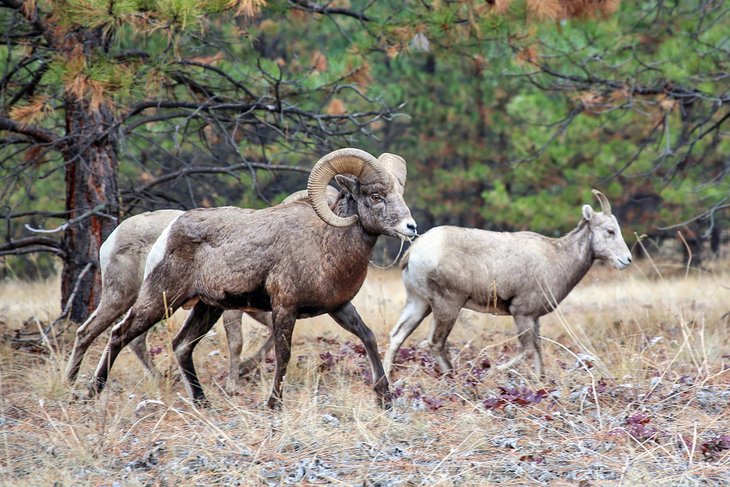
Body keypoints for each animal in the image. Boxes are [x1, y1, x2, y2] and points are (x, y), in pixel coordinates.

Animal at [85, 149, 416, 408]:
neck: (326, 243)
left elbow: (368, 337)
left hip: (207, 308)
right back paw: (92, 392)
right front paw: (274, 404)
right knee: (119, 334)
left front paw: (384, 398)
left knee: (181, 345)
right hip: (160, 300)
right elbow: (283, 354)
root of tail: (168, 234)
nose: (411, 227)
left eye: (400, 194)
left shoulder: (339, 307)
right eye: (375, 196)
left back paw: (202, 402)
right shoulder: (284, 307)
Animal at [384, 193, 628, 380]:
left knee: (397, 336)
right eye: (610, 231)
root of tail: (414, 251)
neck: (557, 258)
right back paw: (453, 378)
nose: (627, 259)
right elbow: (528, 351)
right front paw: (495, 371)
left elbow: (537, 353)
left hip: (420, 303)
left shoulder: (534, 319)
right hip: (447, 306)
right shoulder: (522, 314)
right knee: (435, 343)